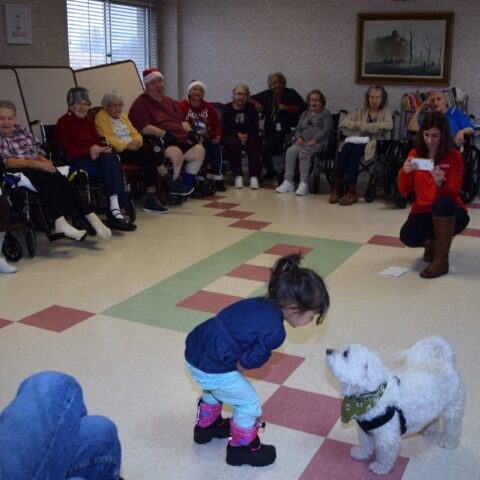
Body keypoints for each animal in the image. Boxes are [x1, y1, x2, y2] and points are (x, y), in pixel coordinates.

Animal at [326, 336, 464, 474]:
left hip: (453, 408)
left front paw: (380, 467)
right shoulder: (365, 431)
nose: (328, 350)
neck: (369, 396)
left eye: (346, 353)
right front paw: (361, 454)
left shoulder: (387, 438)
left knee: (453, 427)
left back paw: (449, 441)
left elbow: (385, 454)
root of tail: (446, 362)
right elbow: (366, 444)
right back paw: (429, 430)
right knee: (434, 419)